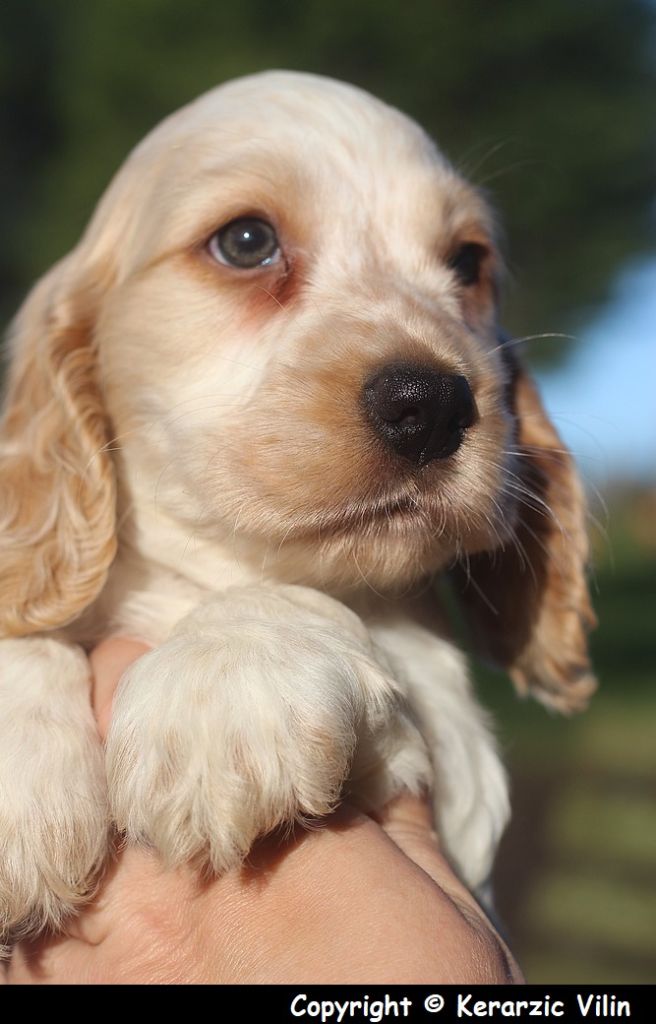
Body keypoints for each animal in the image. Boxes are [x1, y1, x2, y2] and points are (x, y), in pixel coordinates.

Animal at [0, 70, 596, 943]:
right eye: (247, 241)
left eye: (468, 262)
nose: (435, 405)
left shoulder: (447, 740)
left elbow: (312, 603)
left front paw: (228, 689)